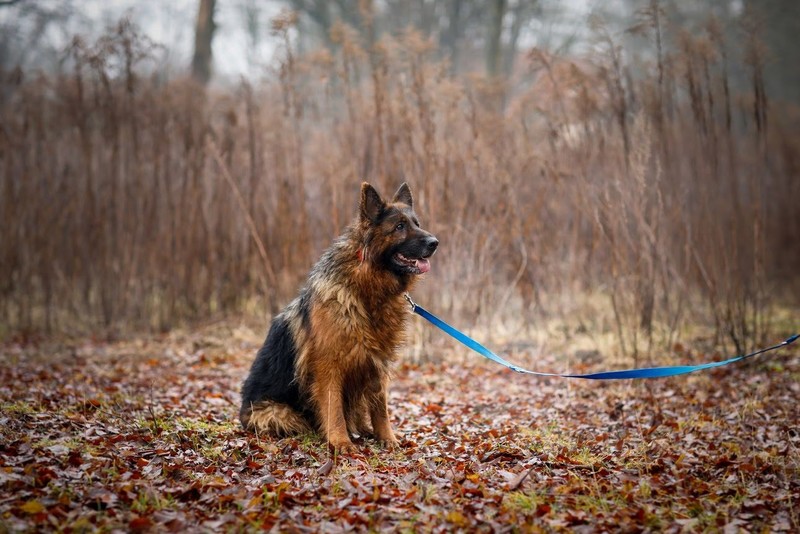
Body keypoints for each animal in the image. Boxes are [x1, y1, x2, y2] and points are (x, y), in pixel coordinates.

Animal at [239, 183, 438, 452]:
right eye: (399, 226)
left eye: (416, 223)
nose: (435, 242)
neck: (366, 289)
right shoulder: (329, 366)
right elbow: (333, 408)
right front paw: (340, 442)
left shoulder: (377, 364)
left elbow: (380, 408)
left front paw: (387, 438)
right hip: (278, 413)